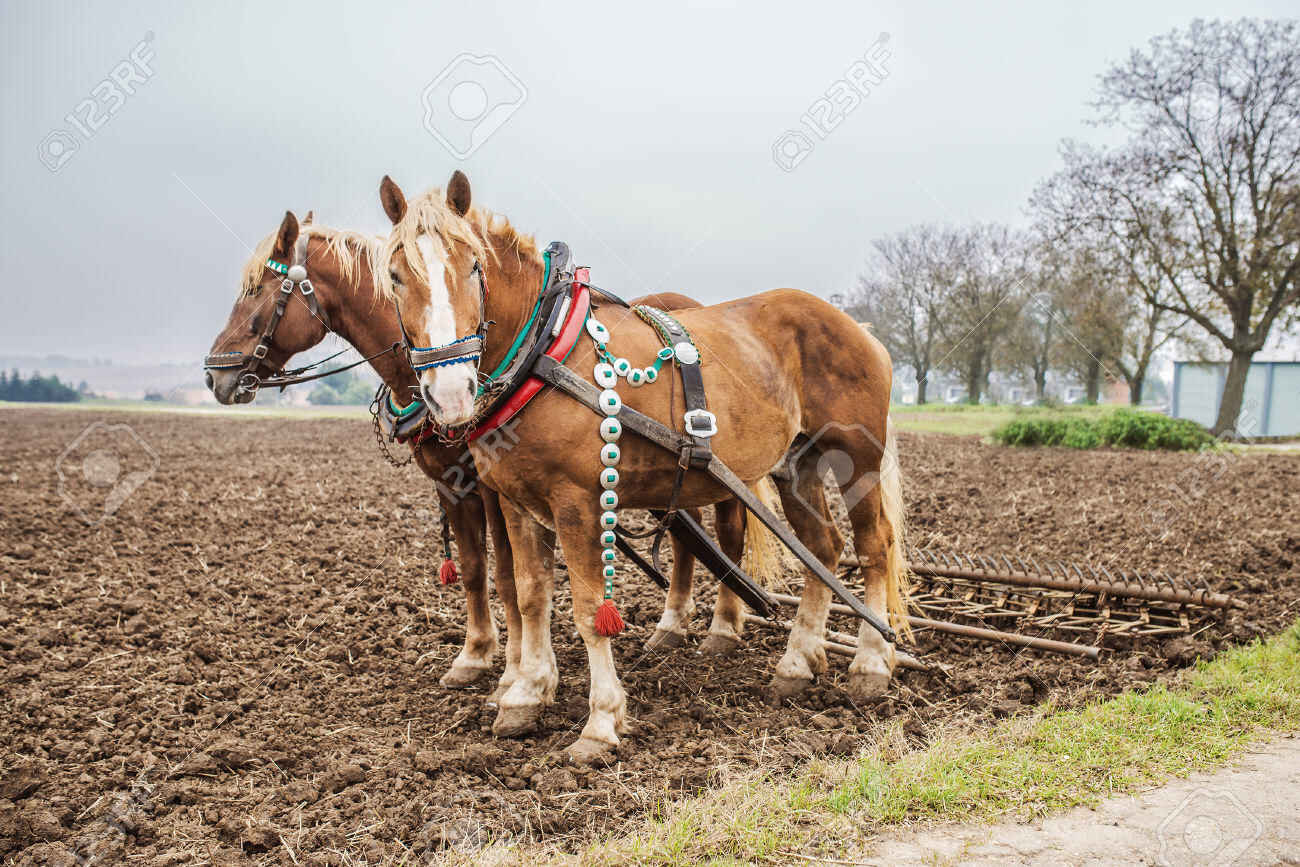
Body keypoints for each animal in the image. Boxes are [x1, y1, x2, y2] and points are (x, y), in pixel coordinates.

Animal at [202, 211, 751, 697]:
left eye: (258, 289)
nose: (214, 375)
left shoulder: (492, 488)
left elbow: (508, 576)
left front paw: (514, 672)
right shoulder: (451, 485)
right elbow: (473, 570)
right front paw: (476, 656)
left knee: (726, 531)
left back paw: (719, 629)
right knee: (684, 531)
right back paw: (672, 627)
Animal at [377, 171, 909, 763]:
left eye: (472, 266)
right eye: (396, 276)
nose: (449, 392)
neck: (544, 349)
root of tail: (856, 326)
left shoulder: (577, 501)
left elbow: (589, 608)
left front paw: (599, 723)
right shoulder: (516, 501)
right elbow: (532, 594)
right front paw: (525, 695)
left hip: (856, 455)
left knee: (874, 546)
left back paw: (870, 663)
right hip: (798, 461)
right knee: (822, 548)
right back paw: (796, 663)